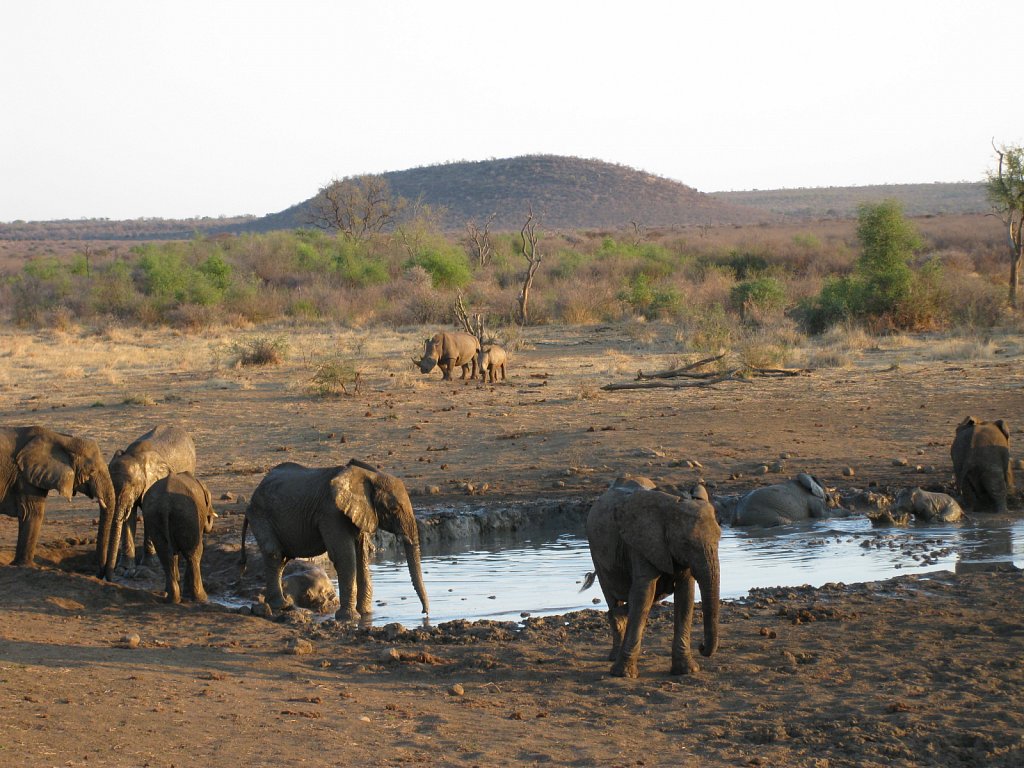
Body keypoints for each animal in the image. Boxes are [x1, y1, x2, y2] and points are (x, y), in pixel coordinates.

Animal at [0, 423, 116, 569]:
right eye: (92, 471)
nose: (99, 569)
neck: (63, 439)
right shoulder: (25, 476)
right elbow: (32, 513)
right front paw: (26, 565)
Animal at [98, 423, 196, 581]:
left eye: (132, 485)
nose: (107, 577)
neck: (136, 456)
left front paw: (148, 566)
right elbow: (129, 517)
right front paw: (124, 569)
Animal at [141, 473, 217, 606]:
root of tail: (165, 504)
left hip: (153, 518)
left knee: (165, 555)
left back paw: (172, 598)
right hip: (187, 516)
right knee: (193, 554)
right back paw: (202, 598)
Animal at [239, 460, 428, 622]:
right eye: (393, 509)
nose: (424, 613)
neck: (369, 476)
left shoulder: (360, 513)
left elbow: (362, 557)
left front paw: (366, 614)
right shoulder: (331, 513)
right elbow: (345, 557)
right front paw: (350, 618)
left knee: (282, 558)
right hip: (260, 514)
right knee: (275, 554)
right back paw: (282, 605)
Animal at [585, 479, 720, 684]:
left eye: (719, 538)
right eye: (685, 543)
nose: (701, 646)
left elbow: (685, 595)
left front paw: (687, 670)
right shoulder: (641, 543)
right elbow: (644, 594)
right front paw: (623, 674)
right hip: (597, 556)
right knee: (612, 596)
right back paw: (614, 649)